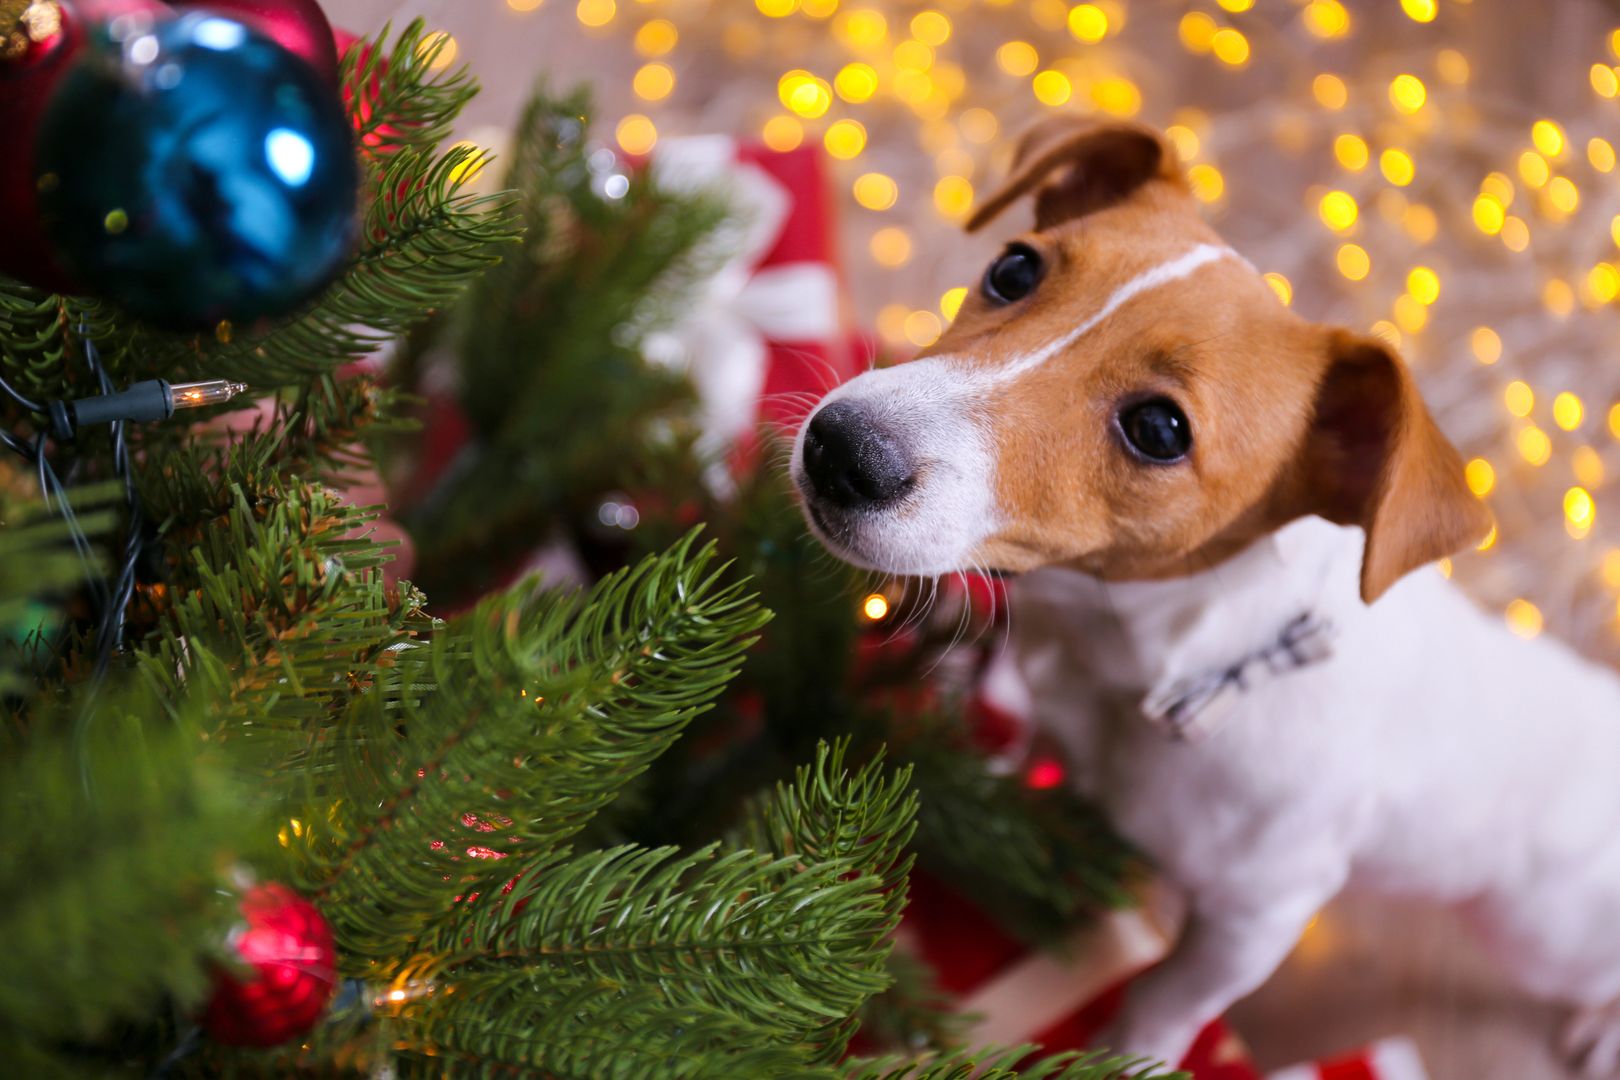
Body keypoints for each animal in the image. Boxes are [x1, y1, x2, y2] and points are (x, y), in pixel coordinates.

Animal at [790, 118, 1620, 1075]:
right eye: (1014, 269)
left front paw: (1124, 1054)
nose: (841, 449)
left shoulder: (1256, 918)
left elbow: (1163, 1000)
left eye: (1158, 429)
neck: (1161, 667)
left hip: (1544, 937)